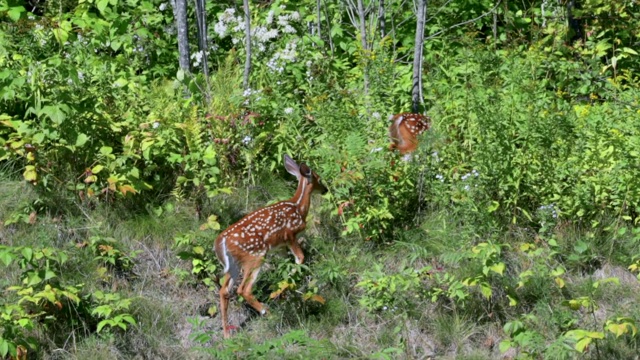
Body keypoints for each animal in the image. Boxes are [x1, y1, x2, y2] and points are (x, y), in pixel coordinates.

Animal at [214, 154, 328, 338]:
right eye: (318, 178)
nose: (325, 190)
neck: (299, 208)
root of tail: (220, 243)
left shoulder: (280, 246)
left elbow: (286, 263)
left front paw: (284, 285)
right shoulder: (289, 235)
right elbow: (300, 258)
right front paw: (290, 284)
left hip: (233, 265)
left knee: (224, 291)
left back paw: (226, 334)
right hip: (255, 257)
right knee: (243, 290)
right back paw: (267, 312)